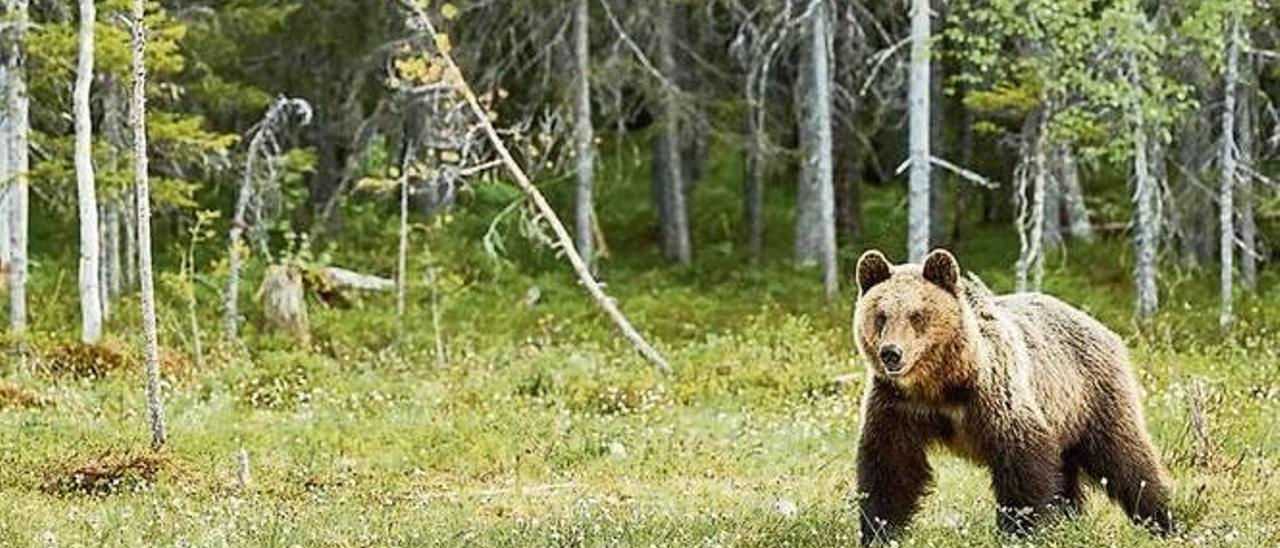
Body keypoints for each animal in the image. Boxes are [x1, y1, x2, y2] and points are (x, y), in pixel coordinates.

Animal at [849, 248, 1172, 542]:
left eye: (917, 315)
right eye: (881, 316)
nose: (891, 353)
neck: (940, 384)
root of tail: (1099, 325)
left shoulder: (994, 395)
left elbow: (1022, 462)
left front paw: (1018, 529)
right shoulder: (898, 405)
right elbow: (890, 467)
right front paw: (880, 531)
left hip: (1092, 394)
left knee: (1125, 458)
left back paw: (1162, 520)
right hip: (1064, 419)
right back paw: (1070, 521)